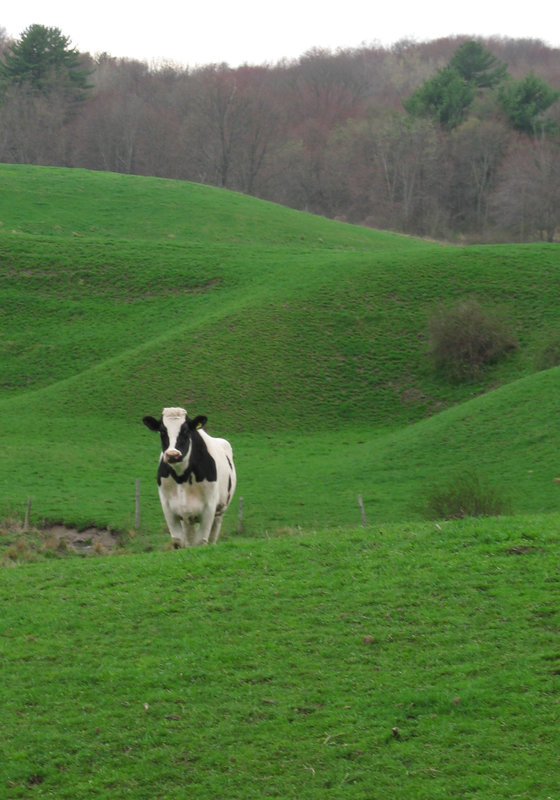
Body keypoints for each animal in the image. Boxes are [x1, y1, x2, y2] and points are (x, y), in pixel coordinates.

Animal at [142, 410, 236, 548]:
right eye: (162, 431)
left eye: (186, 431)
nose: (173, 455)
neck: (182, 478)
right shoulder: (168, 507)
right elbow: (178, 541)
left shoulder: (209, 507)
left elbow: (201, 541)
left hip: (220, 510)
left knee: (213, 536)